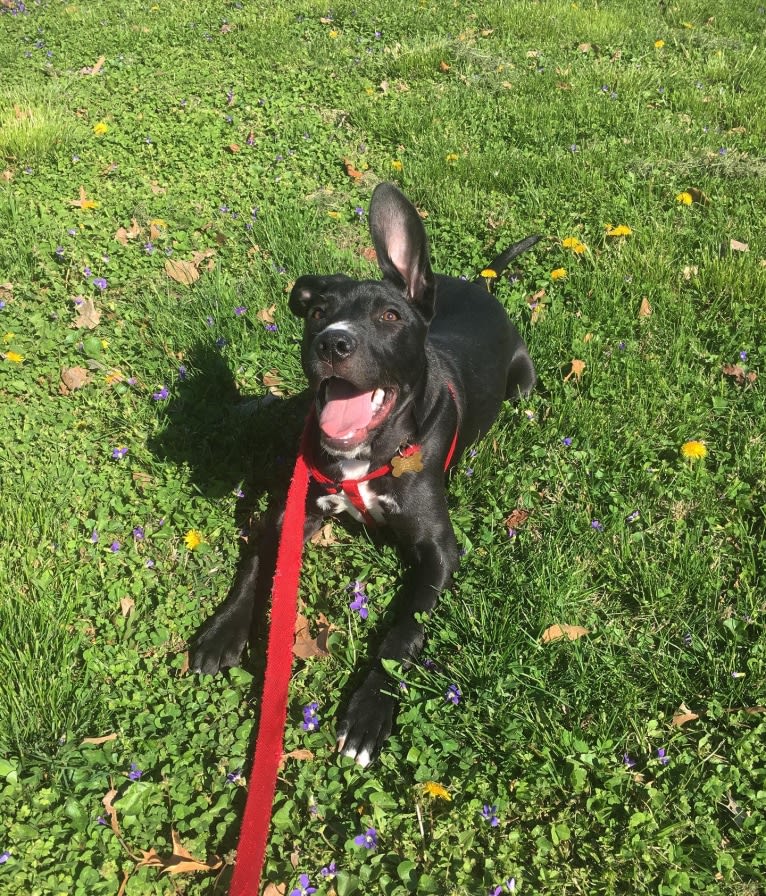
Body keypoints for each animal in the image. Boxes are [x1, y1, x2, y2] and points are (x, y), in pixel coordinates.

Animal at [192, 186, 540, 768]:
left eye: (389, 315)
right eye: (317, 312)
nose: (332, 343)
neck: (368, 452)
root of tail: (476, 285)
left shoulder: (439, 551)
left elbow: (403, 633)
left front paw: (369, 711)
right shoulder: (292, 511)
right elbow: (255, 563)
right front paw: (223, 630)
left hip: (524, 380)